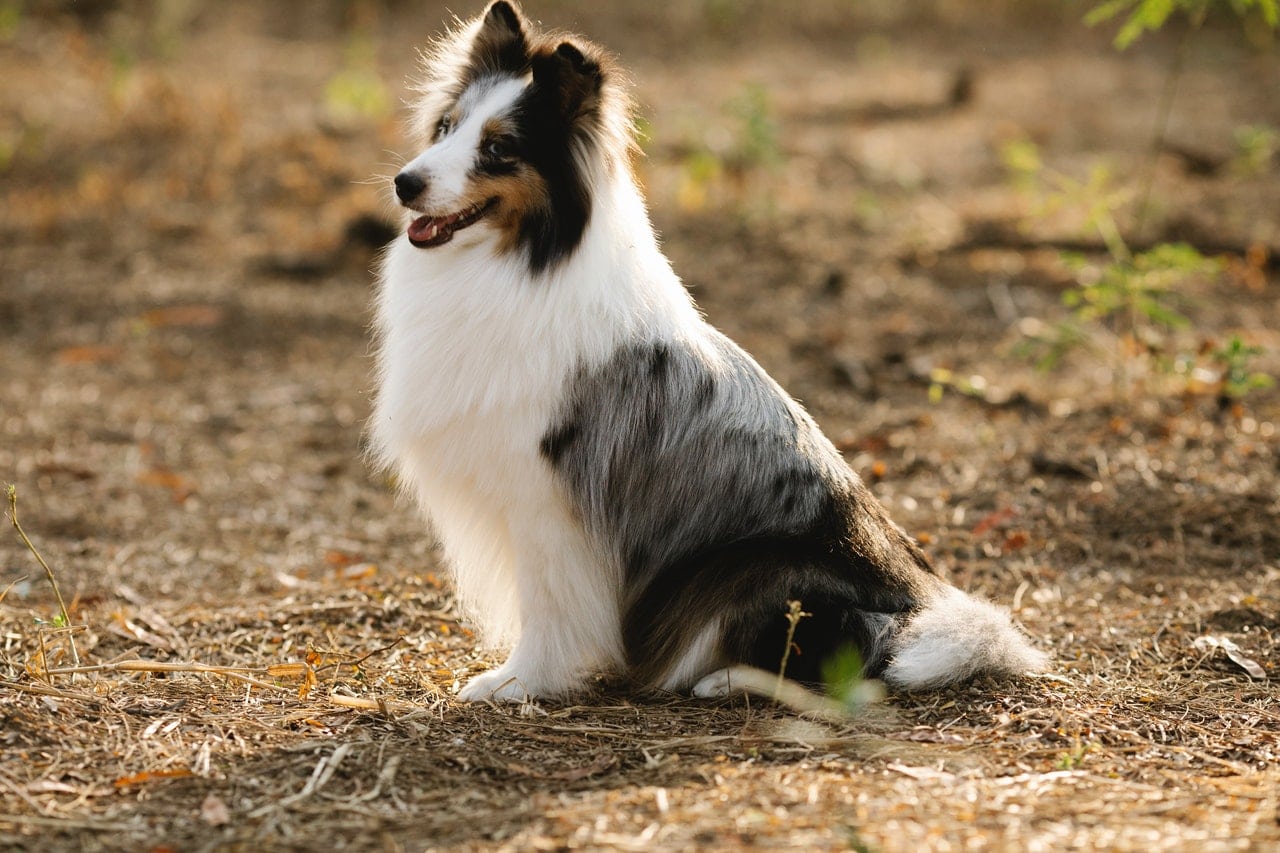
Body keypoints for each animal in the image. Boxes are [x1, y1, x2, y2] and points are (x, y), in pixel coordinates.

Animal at [366, 3, 1044, 701]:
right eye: (447, 127)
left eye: (499, 148)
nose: (404, 183)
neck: (521, 261)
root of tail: (924, 604)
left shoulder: (548, 496)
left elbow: (548, 607)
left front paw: (518, 682)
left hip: (754, 573)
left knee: (854, 664)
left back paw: (724, 680)